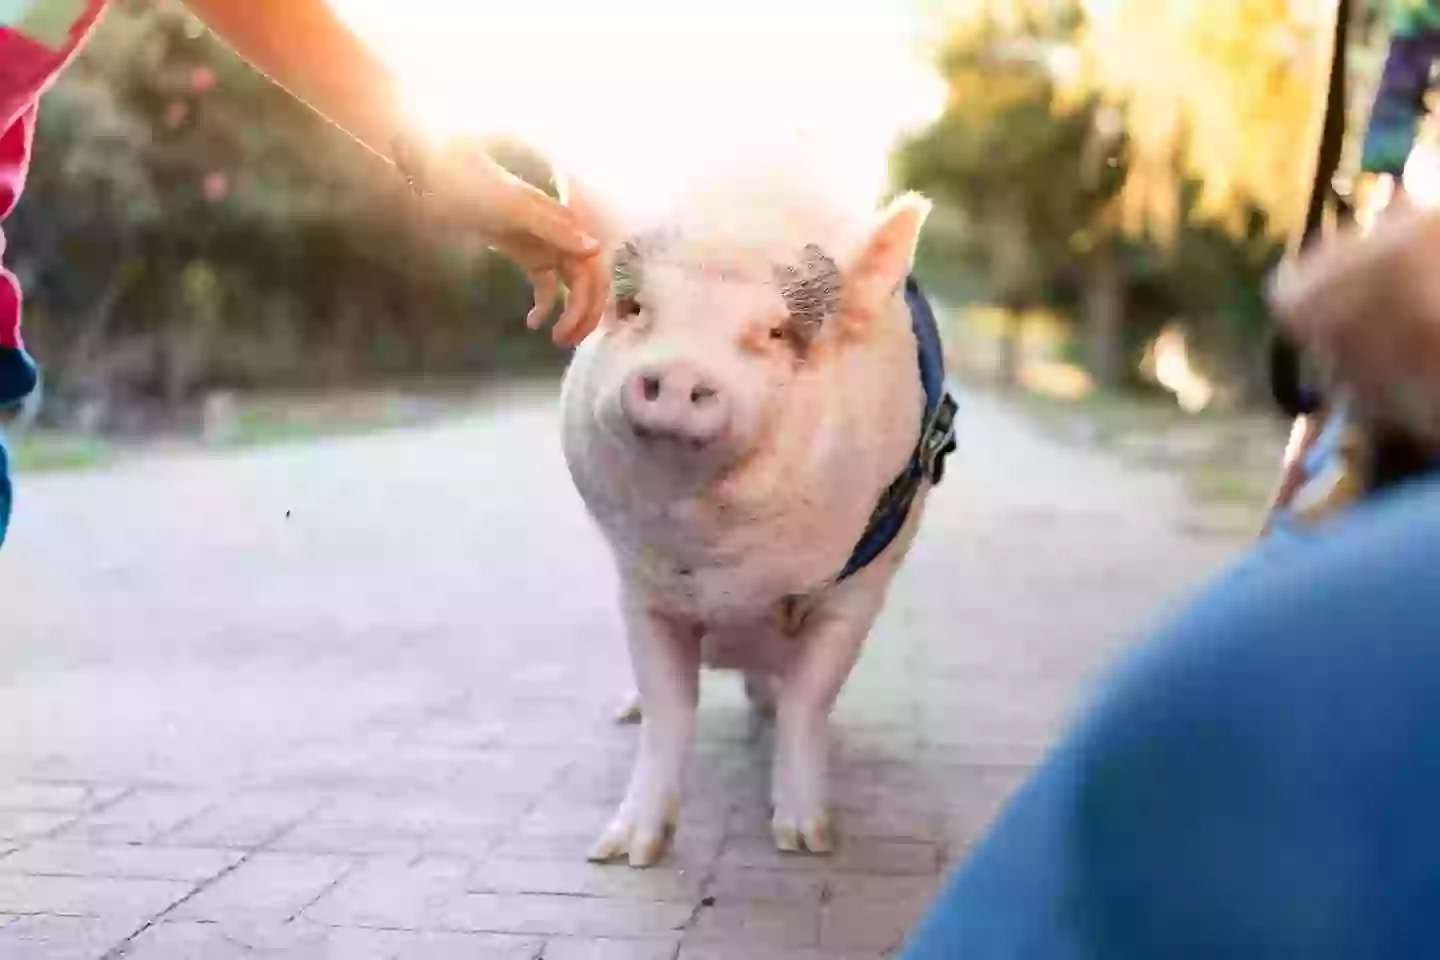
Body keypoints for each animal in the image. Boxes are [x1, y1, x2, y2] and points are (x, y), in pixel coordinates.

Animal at [558, 165, 956, 867]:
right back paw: (624, 715)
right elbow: (669, 710)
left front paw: (807, 842)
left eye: (774, 332)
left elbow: (809, 700)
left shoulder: (859, 591)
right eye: (635, 309)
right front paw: (622, 855)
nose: (680, 370)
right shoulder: (641, 588)